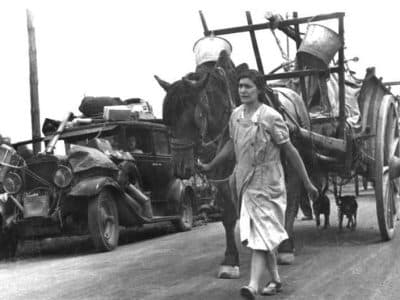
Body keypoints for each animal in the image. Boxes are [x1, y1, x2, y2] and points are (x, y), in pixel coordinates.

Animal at [155, 49, 316, 276]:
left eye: (196, 117)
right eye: (168, 120)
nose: (180, 168)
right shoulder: (222, 179)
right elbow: (229, 216)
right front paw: (230, 258)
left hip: (293, 161)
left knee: (291, 201)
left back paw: (286, 246)